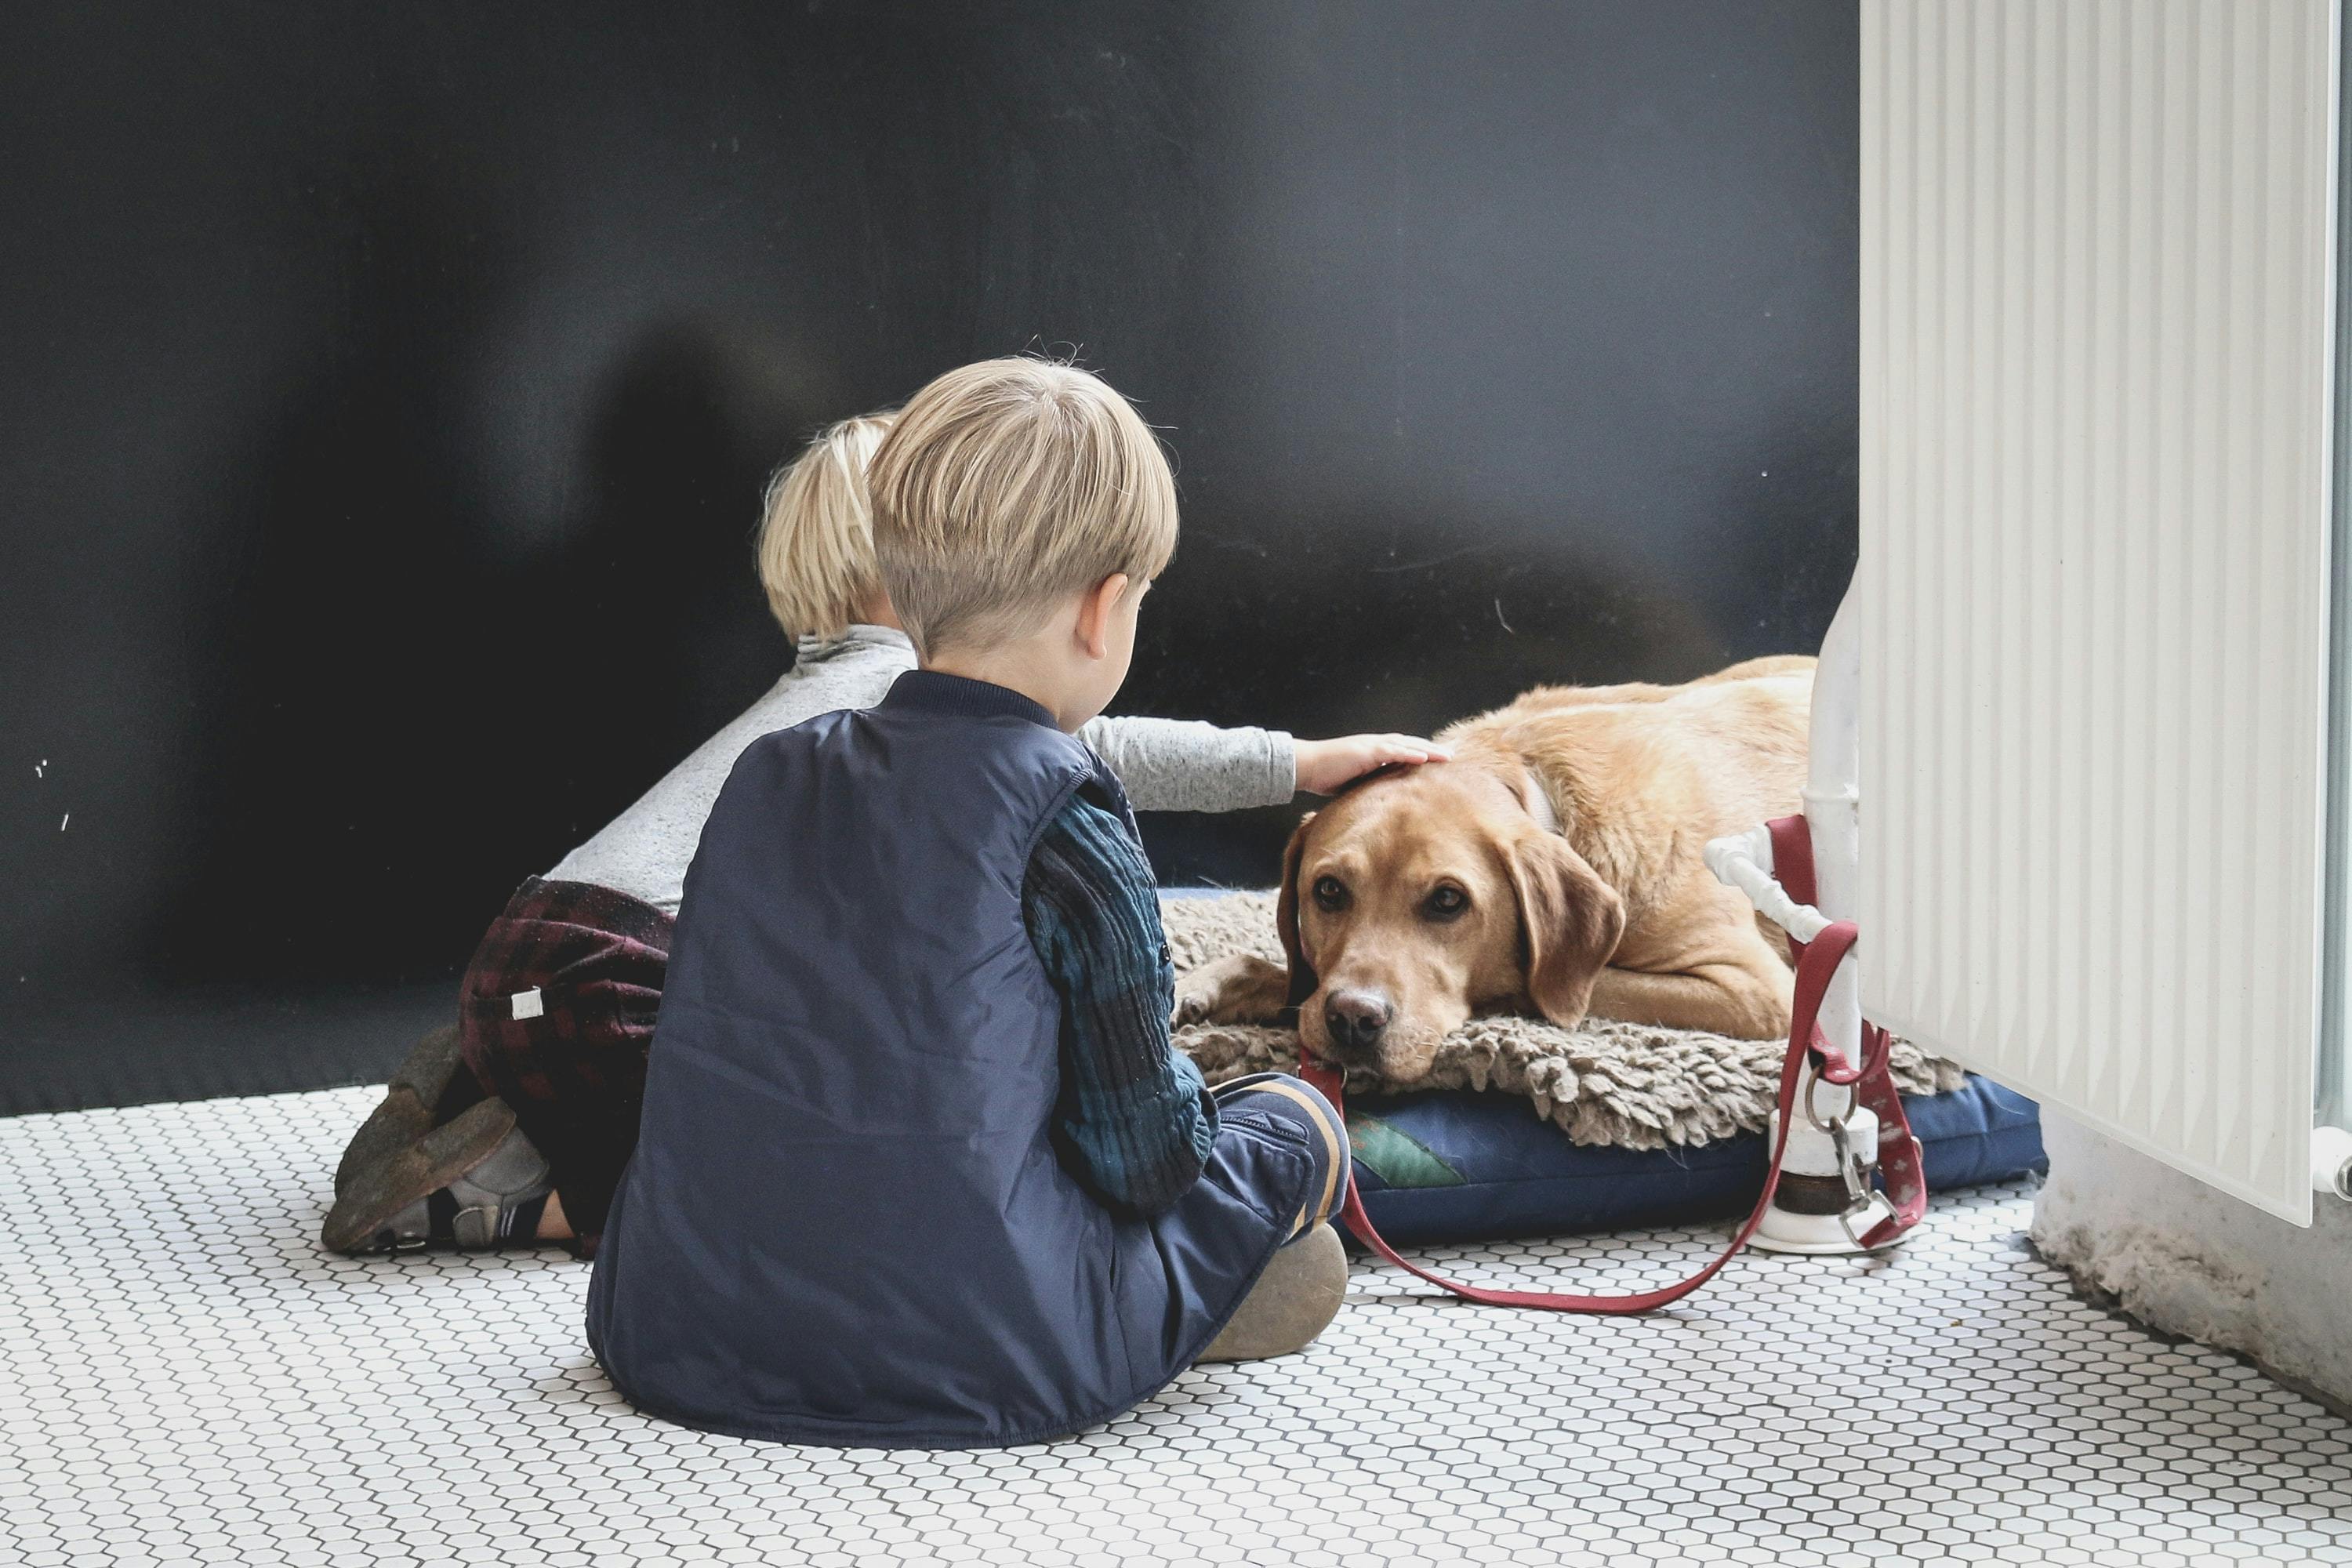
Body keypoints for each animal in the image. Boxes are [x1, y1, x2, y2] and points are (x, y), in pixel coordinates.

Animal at [1176, 658, 1816, 1086]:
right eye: (1328, 891)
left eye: (1448, 901)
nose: (1353, 1019)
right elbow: (1291, 974)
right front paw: (1209, 986)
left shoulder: (1758, 991)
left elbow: (1535, 984)